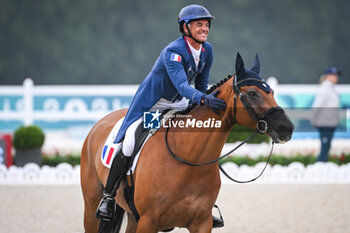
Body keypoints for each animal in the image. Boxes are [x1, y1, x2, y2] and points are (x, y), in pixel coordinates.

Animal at [80, 53, 294, 233]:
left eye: (272, 92)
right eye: (252, 93)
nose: (286, 128)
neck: (188, 160)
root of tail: (99, 123)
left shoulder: (201, 223)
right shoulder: (149, 222)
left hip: (133, 218)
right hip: (92, 209)